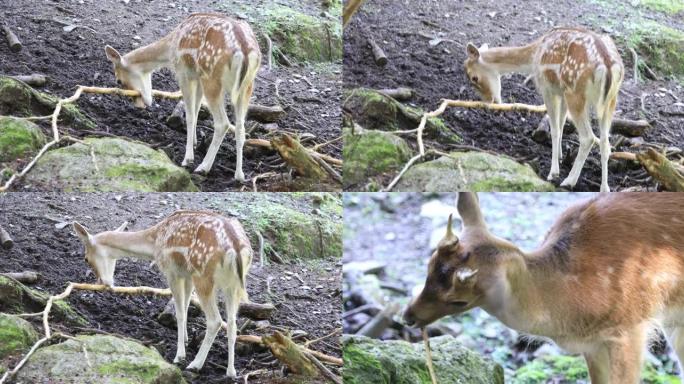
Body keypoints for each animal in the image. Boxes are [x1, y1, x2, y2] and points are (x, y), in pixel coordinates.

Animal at [73, 210, 254, 378]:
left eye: (86, 258)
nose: (103, 282)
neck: (154, 242)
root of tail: (236, 249)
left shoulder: (171, 271)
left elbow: (180, 312)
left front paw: (179, 355)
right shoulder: (186, 274)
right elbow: (186, 307)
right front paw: (186, 340)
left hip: (203, 276)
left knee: (215, 320)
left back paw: (195, 364)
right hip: (233, 285)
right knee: (232, 322)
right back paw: (231, 372)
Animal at [104, 13, 262, 182]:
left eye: (119, 80)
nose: (140, 104)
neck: (171, 47)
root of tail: (244, 53)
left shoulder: (183, 72)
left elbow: (190, 115)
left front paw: (188, 158)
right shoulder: (197, 76)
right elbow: (197, 108)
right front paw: (195, 142)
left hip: (212, 79)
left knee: (223, 123)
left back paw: (203, 167)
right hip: (246, 86)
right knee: (240, 126)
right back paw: (239, 175)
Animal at [464, 27, 624, 191]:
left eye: (474, 78)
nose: (489, 102)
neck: (534, 56)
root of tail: (607, 67)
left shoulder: (547, 88)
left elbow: (554, 129)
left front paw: (553, 172)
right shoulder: (561, 91)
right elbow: (561, 123)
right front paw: (561, 156)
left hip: (575, 93)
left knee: (588, 138)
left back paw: (569, 181)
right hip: (610, 100)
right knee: (605, 142)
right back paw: (604, 188)